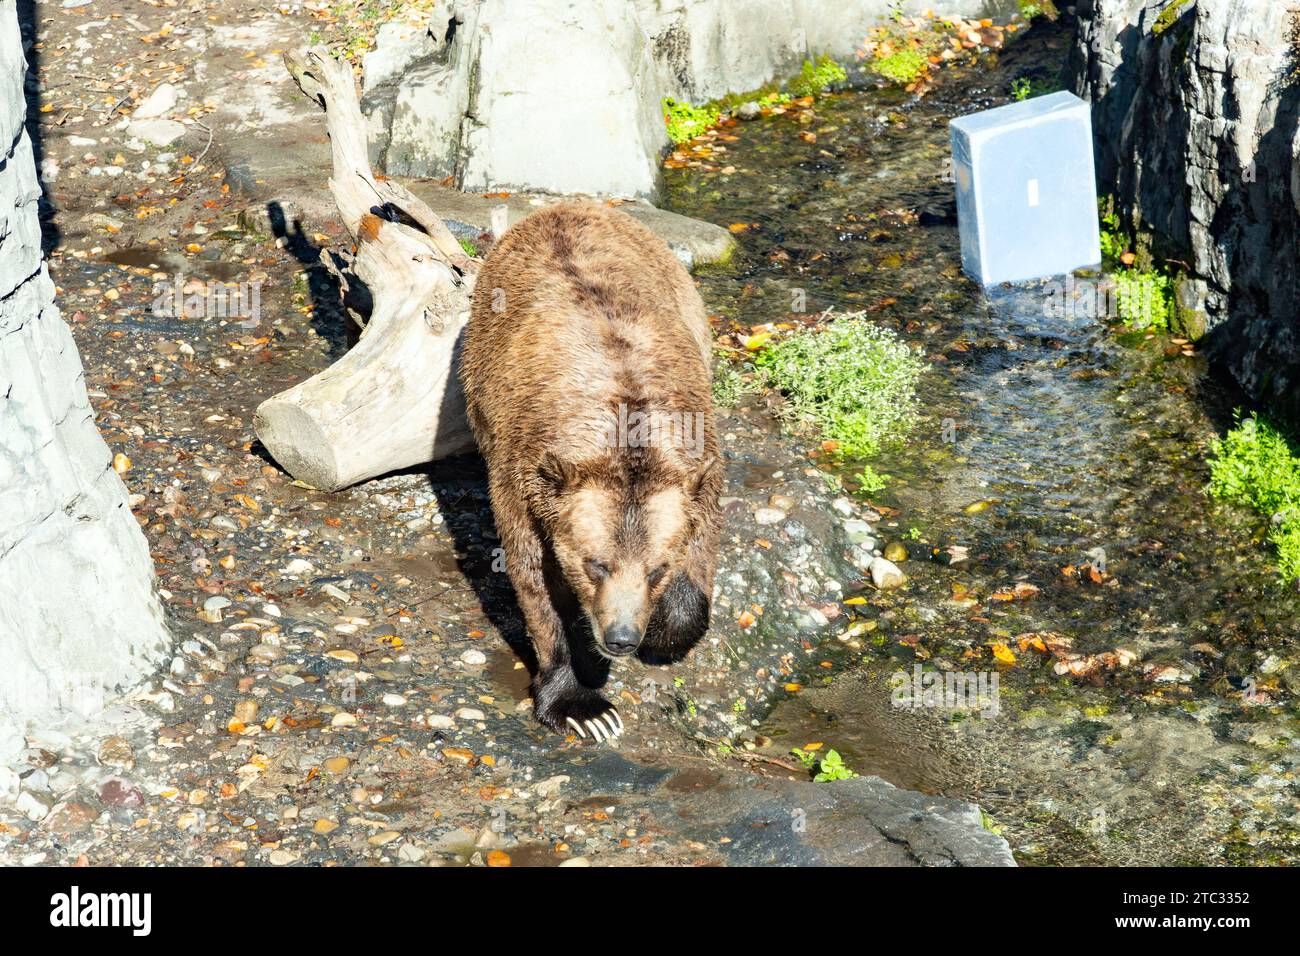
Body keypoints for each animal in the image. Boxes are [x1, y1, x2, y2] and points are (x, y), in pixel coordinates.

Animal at [460, 201, 728, 738]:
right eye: (595, 564)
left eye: (656, 570)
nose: (622, 637)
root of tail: (564, 206)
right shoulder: (525, 476)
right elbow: (534, 578)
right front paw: (583, 706)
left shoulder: (696, 457)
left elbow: (699, 554)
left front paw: (663, 633)